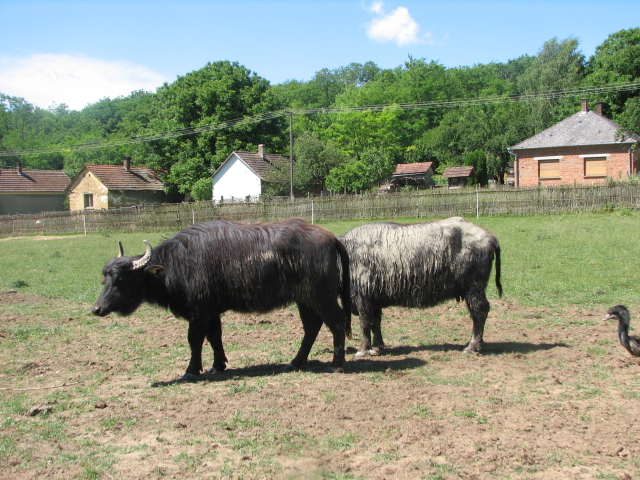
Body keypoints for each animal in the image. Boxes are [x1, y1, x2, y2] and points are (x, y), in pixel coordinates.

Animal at [91, 218, 351, 379]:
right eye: (105, 278)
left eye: (121, 279)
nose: (97, 309)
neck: (177, 264)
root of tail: (331, 238)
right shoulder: (211, 312)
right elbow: (215, 337)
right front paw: (218, 365)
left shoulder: (198, 313)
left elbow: (195, 340)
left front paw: (191, 370)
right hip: (304, 300)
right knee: (312, 327)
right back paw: (295, 362)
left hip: (321, 297)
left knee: (337, 322)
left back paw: (337, 364)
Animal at [339, 217, 502, 356]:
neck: (346, 256)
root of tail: (490, 237)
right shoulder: (374, 301)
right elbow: (376, 324)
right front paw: (377, 347)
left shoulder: (363, 298)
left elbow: (365, 323)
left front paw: (363, 349)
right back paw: (479, 344)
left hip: (473, 288)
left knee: (479, 311)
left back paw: (472, 346)